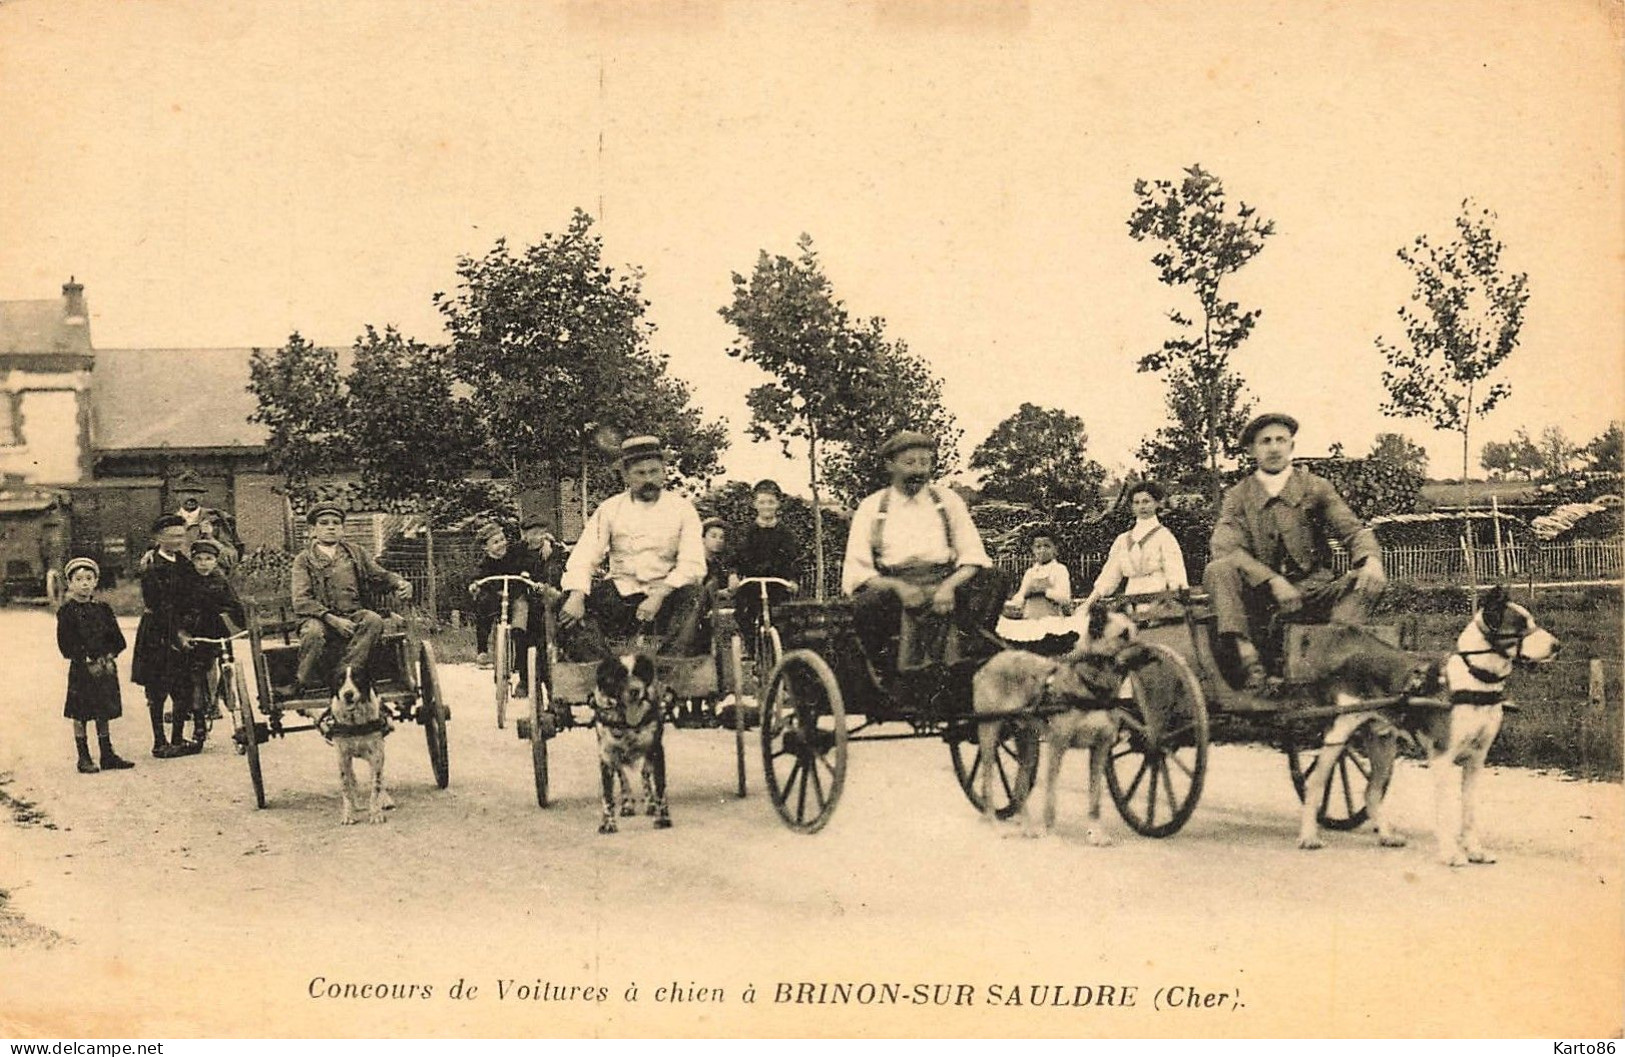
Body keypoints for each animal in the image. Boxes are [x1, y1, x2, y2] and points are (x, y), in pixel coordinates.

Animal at [326, 656, 393, 822]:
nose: (348, 694)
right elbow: (346, 786)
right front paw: (348, 814)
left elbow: (376, 785)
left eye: (357, 678)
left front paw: (375, 813)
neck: (355, 721)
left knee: (378, 777)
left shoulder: (376, 753)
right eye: (340, 680)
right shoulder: (342, 756)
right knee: (352, 778)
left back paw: (385, 800)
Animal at [588, 650, 669, 832]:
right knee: (623, 776)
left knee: (645, 773)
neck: (627, 724)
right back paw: (627, 805)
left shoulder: (656, 750)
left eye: (640, 673)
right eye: (618, 675)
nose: (635, 691)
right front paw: (608, 823)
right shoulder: (606, 756)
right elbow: (608, 795)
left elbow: (660, 788)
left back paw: (650, 804)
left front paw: (663, 818)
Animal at [968, 608, 1150, 839]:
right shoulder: (1058, 745)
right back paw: (994, 823)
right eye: (1123, 635)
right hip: (989, 734)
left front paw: (1096, 833)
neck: (1091, 688)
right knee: (987, 781)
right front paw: (1051, 833)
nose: (1150, 653)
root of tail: (989, 662)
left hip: (1027, 741)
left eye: (1137, 631)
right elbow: (1051, 796)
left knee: (1020, 785)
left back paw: (1027, 826)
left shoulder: (1100, 749)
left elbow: (1095, 797)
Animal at [1293, 585, 1560, 865]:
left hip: (1383, 744)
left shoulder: (1476, 759)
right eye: (1521, 625)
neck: (1474, 680)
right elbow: (1444, 810)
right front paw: (1450, 852)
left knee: (1372, 792)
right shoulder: (1442, 758)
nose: (1558, 646)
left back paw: (1386, 835)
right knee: (1315, 785)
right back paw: (1308, 837)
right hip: (1337, 736)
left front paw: (1474, 849)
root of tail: (1346, 658)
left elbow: (1469, 810)